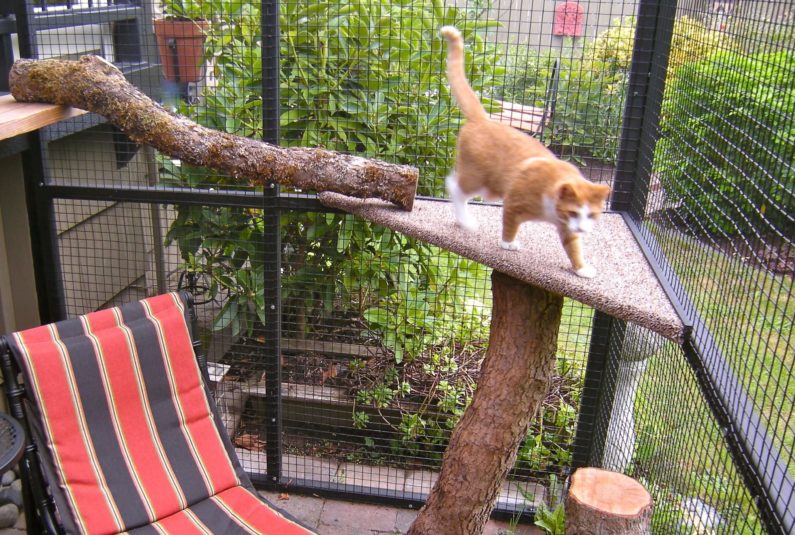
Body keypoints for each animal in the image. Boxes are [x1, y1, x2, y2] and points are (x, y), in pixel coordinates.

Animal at [442, 25, 608, 278]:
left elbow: (574, 247)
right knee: (454, 186)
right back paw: (466, 221)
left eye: (590, 215)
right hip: (478, 177)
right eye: (574, 213)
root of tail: (483, 119)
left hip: (490, 187)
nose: (582, 228)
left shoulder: (567, 229)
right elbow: (510, 224)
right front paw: (508, 244)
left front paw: (582, 268)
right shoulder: (514, 202)